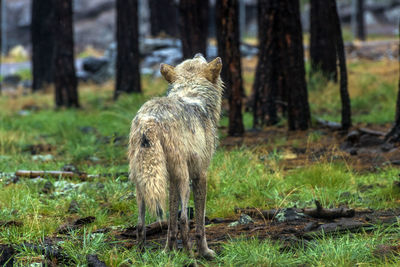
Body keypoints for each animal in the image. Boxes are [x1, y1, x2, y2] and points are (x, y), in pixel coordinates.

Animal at [127, 54, 222, 260]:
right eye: (201, 59)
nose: (198, 53)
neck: (193, 94)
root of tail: (149, 119)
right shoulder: (200, 174)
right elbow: (199, 224)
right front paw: (205, 252)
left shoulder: (171, 180)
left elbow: (171, 223)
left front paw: (168, 251)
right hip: (184, 179)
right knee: (185, 220)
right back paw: (191, 258)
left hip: (142, 183)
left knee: (140, 224)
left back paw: (141, 255)